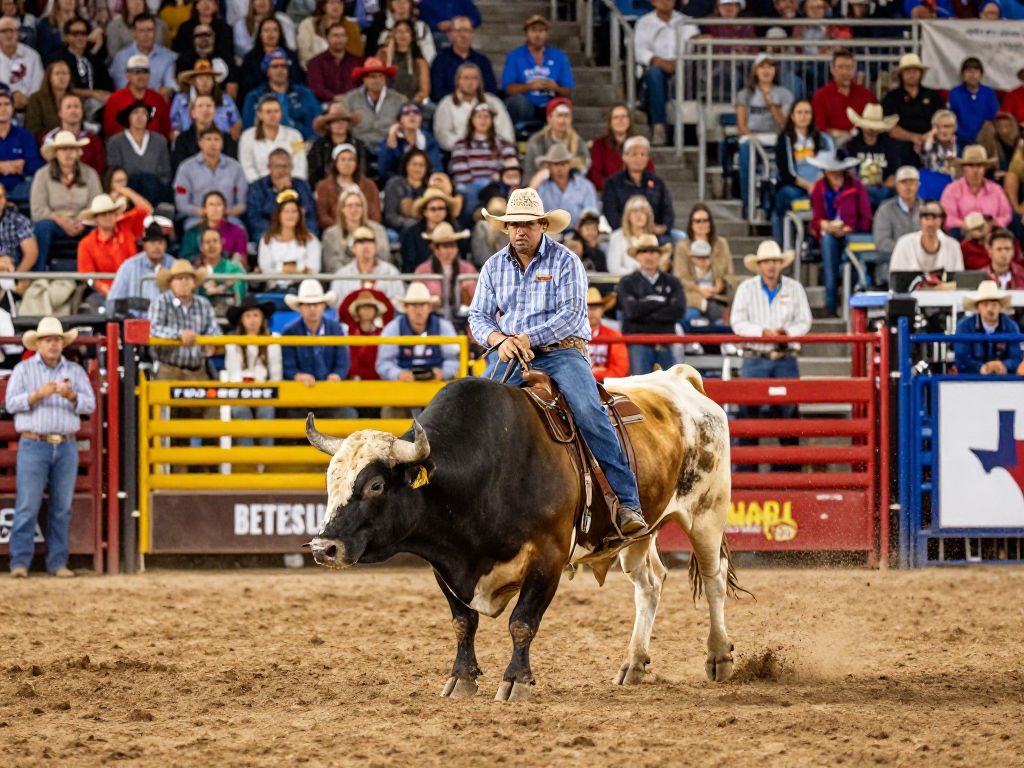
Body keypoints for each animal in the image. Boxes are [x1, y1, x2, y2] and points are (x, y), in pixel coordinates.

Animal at [306, 364, 742, 701]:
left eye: (376, 485)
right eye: (330, 481)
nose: (324, 547)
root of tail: (678, 379)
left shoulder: (548, 556)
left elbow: (522, 621)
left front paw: (516, 682)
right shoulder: (444, 564)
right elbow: (463, 622)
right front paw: (461, 679)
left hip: (706, 513)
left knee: (714, 580)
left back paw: (719, 657)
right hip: (639, 535)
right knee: (650, 584)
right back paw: (632, 665)